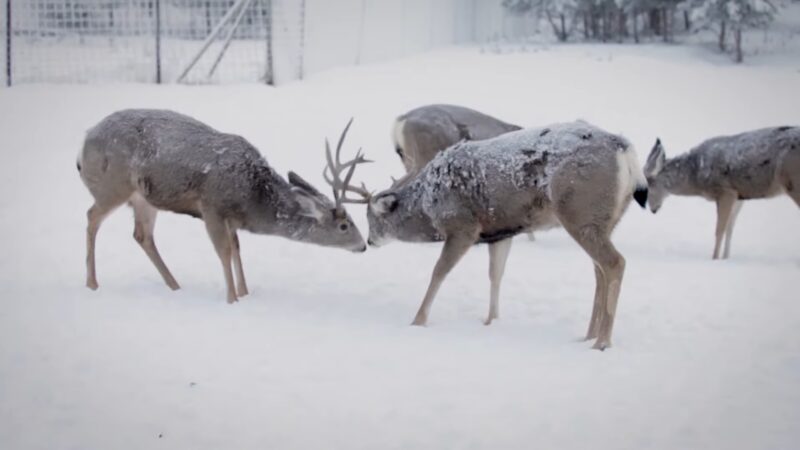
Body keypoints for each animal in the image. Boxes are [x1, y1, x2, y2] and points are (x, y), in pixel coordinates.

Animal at [75, 110, 368, 302]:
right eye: (344, 225)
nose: (364, 245)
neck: (252, 194)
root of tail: (84, 141)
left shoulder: (230, 218)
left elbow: (237, 249)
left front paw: (245, 293)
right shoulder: (212, 207)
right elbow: (224, 251)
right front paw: (232, 299)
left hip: (144, 198)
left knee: (142, 235)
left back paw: (175, 286)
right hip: (113, 184)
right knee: (91, 217)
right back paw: (91, 283)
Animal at [644, 126, 800, 260]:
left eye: (648, 186)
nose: (652, 209)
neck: (695, 174)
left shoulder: (725, 191)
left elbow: (719, 230)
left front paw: (714, 259)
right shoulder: (739, 195)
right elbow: (730, 229)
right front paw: (726, 259)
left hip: (793, 182)